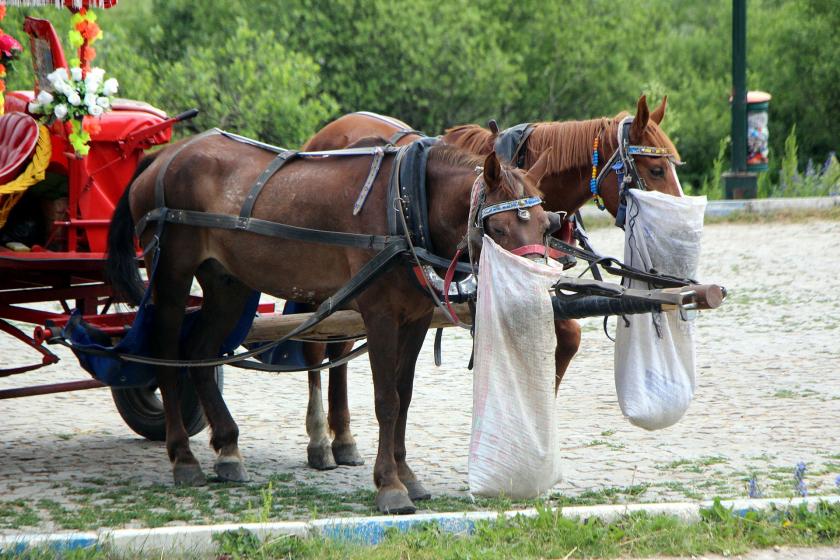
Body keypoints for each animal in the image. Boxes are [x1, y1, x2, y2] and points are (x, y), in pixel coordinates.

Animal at [108, 130, 556, 512]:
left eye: (546, 226)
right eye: (498, 227)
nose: (532, 297)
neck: (406, 206)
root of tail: (165, 155)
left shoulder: (414, 319)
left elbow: (405, 395)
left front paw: (406, 474)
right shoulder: (380, 316)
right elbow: (387, 401)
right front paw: (389, 485)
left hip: (226, 283)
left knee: (200, 354)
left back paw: (228, 450)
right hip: (171, 273)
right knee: (168, 353)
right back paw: (183, 457)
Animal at [298, 96, 680, 472]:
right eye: (656, 169)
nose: (674, 229)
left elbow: (566, 338)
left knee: (338, 349)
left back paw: (342, 438)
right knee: (317, 348)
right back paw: (321, 441)